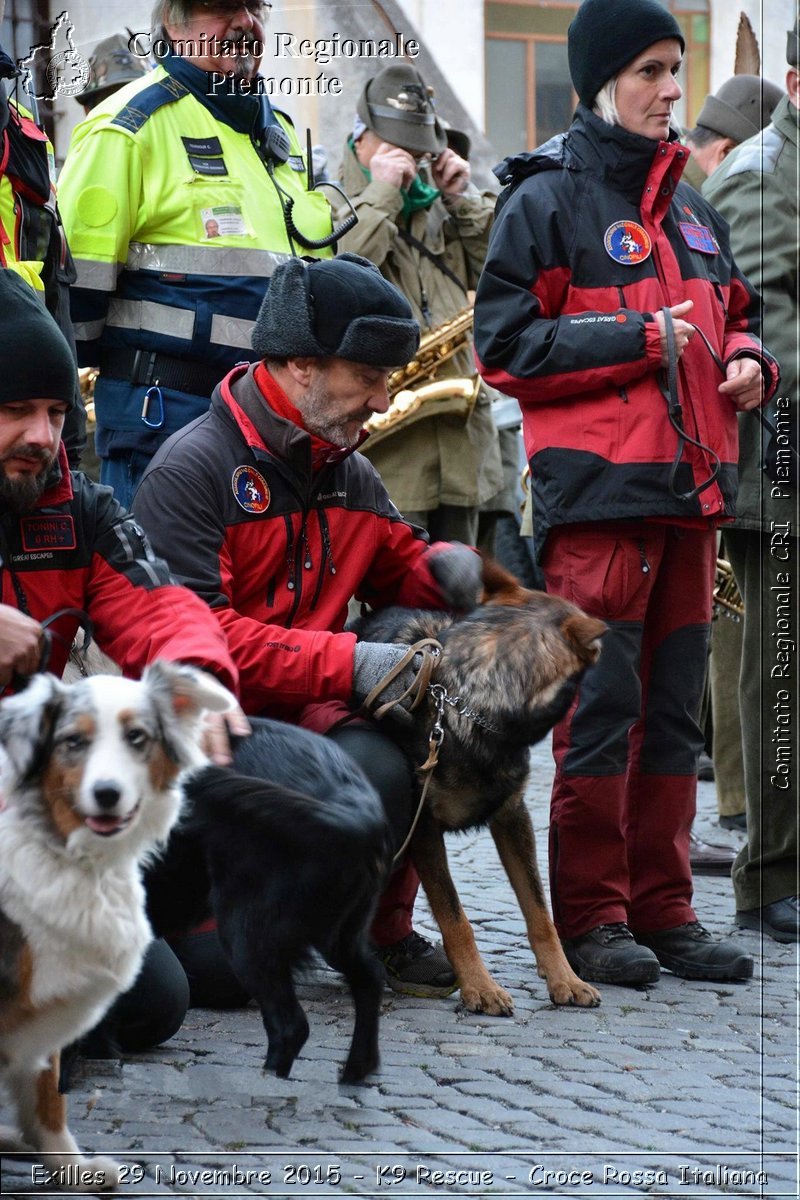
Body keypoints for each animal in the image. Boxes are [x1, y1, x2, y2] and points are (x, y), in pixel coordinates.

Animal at [146, 715, 393, 1084]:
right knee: (369, 979)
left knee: (292, 1026)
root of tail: (350, 806)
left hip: (246, 935)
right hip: (339, 931)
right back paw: (356, 1069)